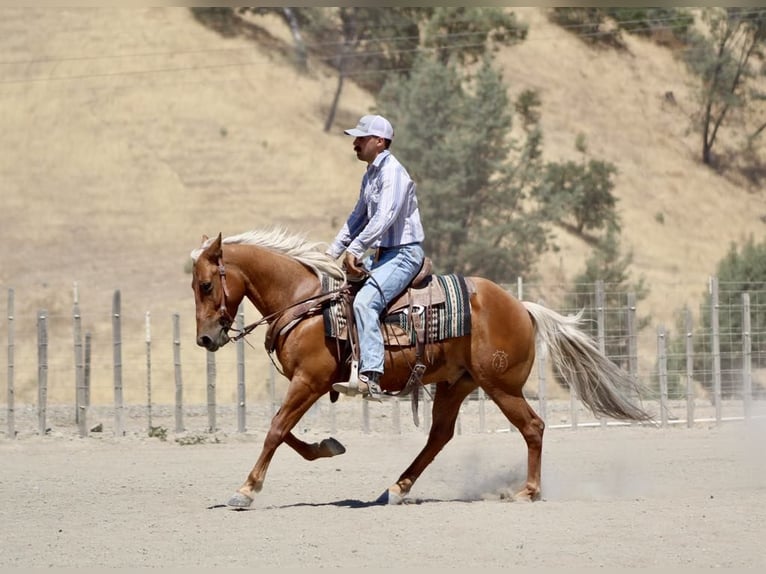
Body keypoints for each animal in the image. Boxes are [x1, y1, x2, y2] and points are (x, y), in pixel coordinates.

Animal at [190, 227, 653, 508]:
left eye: (207, 284)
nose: (206, 340)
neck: (306, 302)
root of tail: (521, 306)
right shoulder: (310, 384)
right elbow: (284, 431)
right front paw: (329, 446)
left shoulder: (310, 381)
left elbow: (275, 429)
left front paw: (246, 491)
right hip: (455, 385)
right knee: (439, 437)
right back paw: (397, 487)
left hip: (501, 387)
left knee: (533, 427)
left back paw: (528, 491)